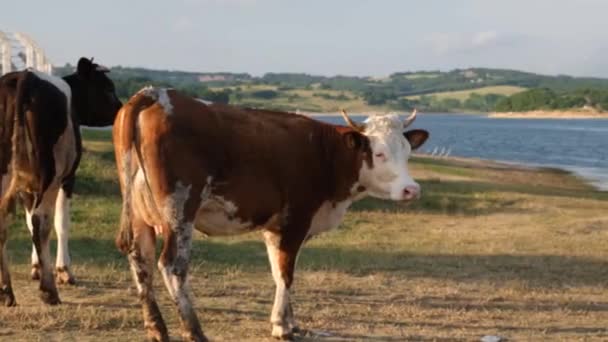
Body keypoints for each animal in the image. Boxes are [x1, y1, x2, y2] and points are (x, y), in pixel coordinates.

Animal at [0, 57, 122, 306]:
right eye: (108, 88)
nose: (121, 108)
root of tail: (26, 76)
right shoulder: (67, 178)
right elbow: (61, 222)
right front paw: (63, 270)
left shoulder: (27, 186)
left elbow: (29, 222)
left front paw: (37, 266)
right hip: (51, 173)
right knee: (41, 220)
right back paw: (49, 290)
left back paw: (6, 291)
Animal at [114, 87, 428, 340]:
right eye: (379, 153)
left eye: (407, 151)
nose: (411, 189)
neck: (325, 153)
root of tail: (155, 93)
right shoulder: (295, 221)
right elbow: (287, 273)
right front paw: (281, 327)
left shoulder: (276, 227)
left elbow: (280, 273)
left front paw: (290, 322)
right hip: (179, 210)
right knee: (171, 266)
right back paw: (195, 332)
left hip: (141, 215)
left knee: (139, 259)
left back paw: (156, 329)